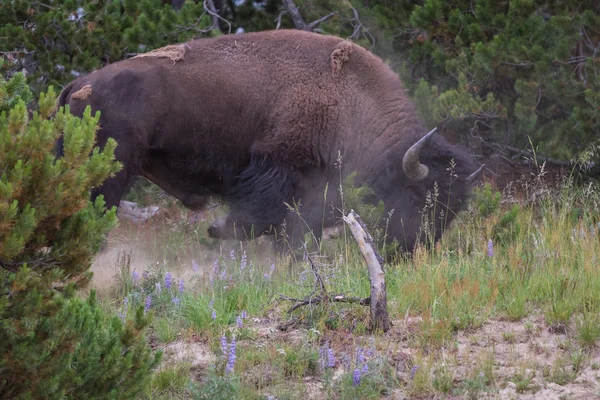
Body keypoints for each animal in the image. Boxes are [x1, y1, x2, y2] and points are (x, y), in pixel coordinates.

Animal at [57, 30, 482, 256]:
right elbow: (264, 218)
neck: (350, 97)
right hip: (110, 174)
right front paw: (218, 230)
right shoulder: (278, 166)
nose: (413, 249)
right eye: (418, 197)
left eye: (454, 208)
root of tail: (76, 85)